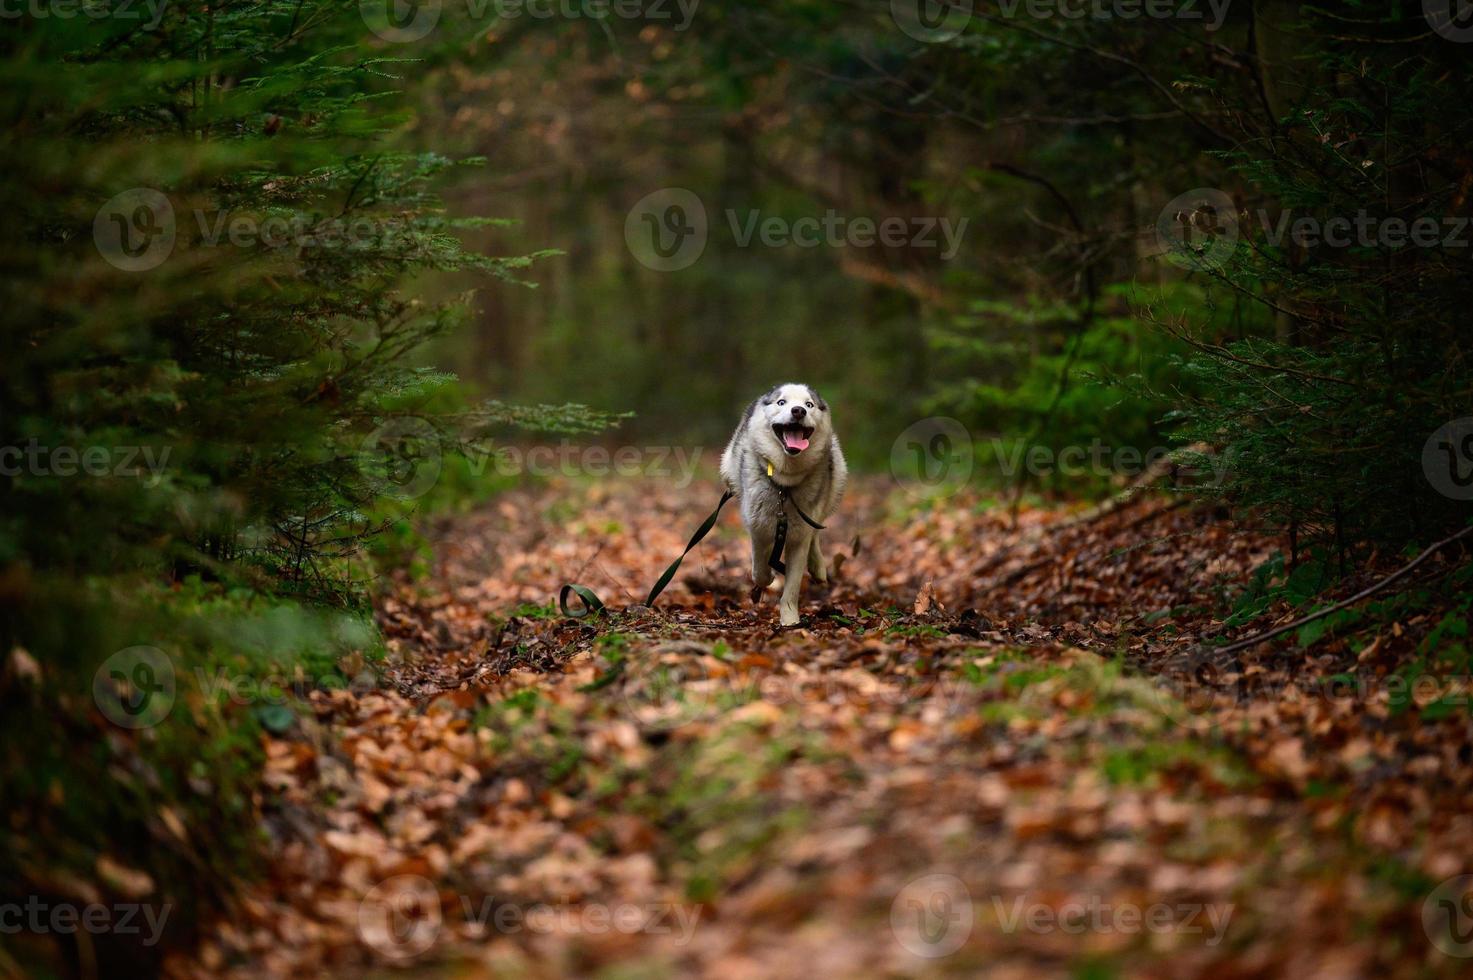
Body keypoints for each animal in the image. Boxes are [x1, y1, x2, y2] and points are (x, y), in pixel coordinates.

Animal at [718, 383, 848, 627]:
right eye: (781, 402)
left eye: (809, 404)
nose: (798, 411)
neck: (784, 485)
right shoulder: (757, 526)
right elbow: (759, 569)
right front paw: (767, 576)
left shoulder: (799, 537)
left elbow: (793, 585)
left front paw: (790, 620)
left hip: (835, 482)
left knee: (816, 530)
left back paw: (817, 567)